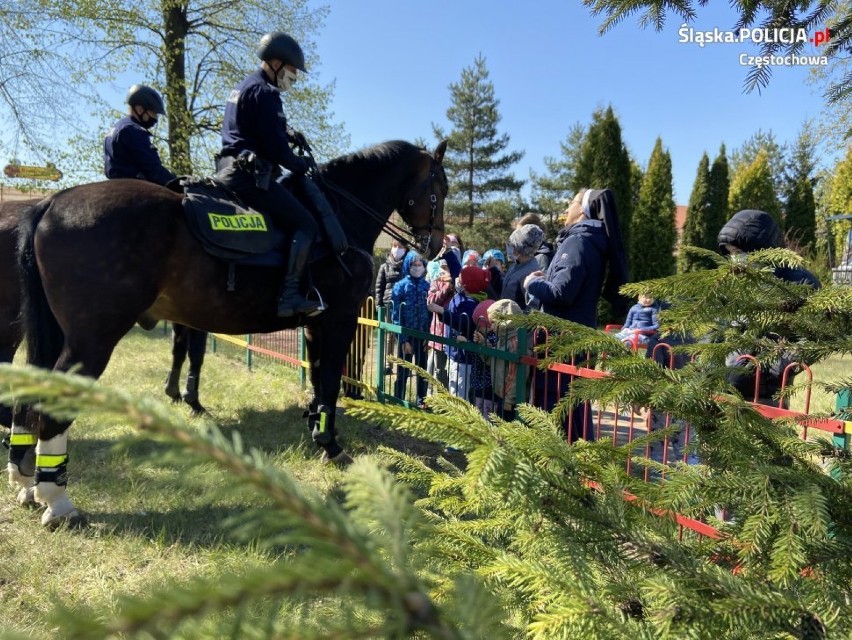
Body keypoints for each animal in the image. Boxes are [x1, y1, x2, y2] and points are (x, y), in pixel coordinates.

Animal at [13, 140, 450, 524]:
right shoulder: (339, 319)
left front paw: (315, 428)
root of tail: (52, 202)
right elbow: (328, 380)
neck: (337, 214)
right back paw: (58, 501)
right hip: (92, 340)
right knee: (49, 409)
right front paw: (330, 444)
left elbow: (315, 378)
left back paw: (27, 481)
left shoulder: (315, 325)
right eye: (440, 189)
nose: (437, 245)